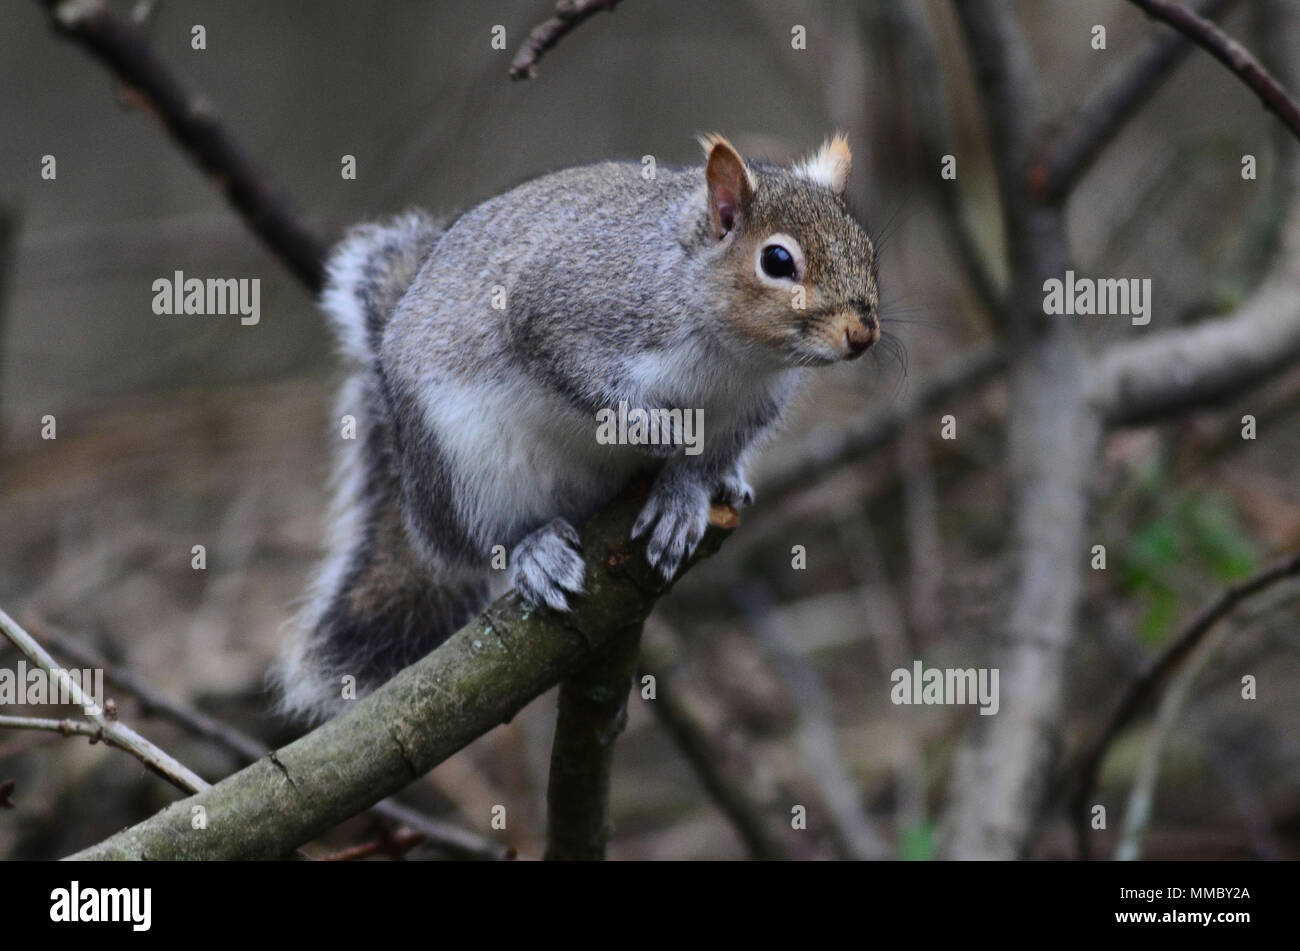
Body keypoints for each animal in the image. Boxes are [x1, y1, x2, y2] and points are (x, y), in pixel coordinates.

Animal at [278, 135, 878, 722]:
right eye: (777, 260)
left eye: (867, 248)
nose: (862, 335)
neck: (733, 351)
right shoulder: (566, 313)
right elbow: (587, 383)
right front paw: (658, 430)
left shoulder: (752, 408)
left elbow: (705, 459)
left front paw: (684, 496)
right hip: (461, 467)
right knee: (482, 542)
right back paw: (534, 551)